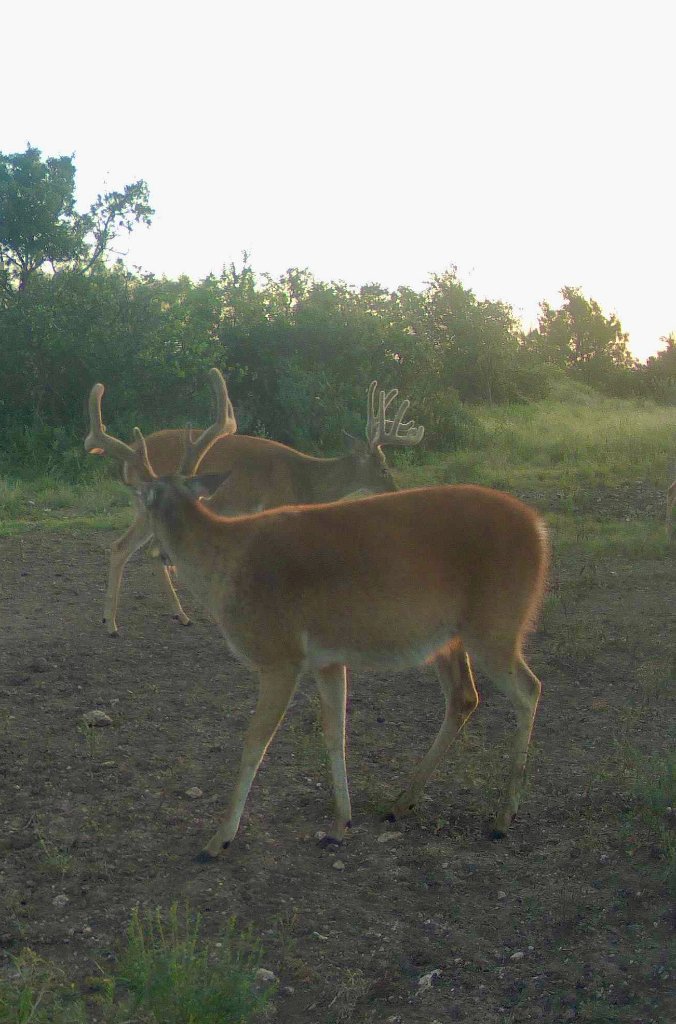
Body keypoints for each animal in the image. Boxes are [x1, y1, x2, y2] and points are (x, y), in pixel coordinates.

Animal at [88, 376, 425, 636]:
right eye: (384, 468)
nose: (396, 491)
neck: (305, 480)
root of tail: (130, 453)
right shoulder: (274, 503)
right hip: (148, 507)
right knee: (122, 547)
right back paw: (111, 623)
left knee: (149, 550)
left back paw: (180, 615)